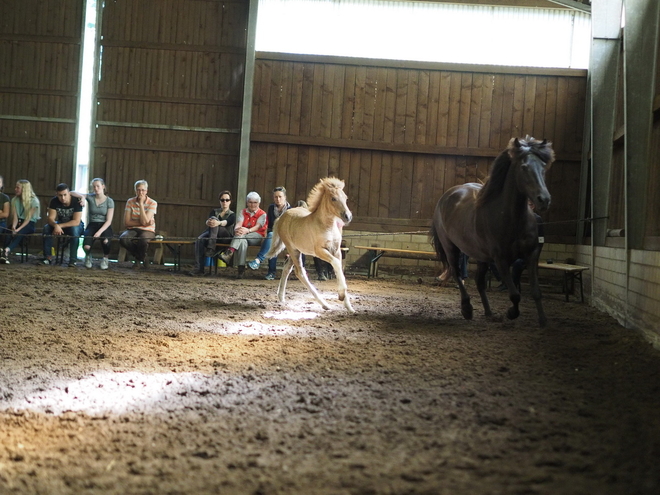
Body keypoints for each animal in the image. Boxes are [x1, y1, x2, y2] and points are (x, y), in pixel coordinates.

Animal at [430, 138, 556, 328]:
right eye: (524, 167)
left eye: (543, 166)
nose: (544, 200)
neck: (513, 220)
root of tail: (448, 195)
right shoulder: (500, 260)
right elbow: (515, 294)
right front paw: (511, 313)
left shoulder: (531, 255)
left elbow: (535, 291)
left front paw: (543, 320)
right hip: (451, 247)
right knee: (456, 273)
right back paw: (467, 308)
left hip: (481, 256)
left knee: (479, 282)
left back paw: (489, 313)